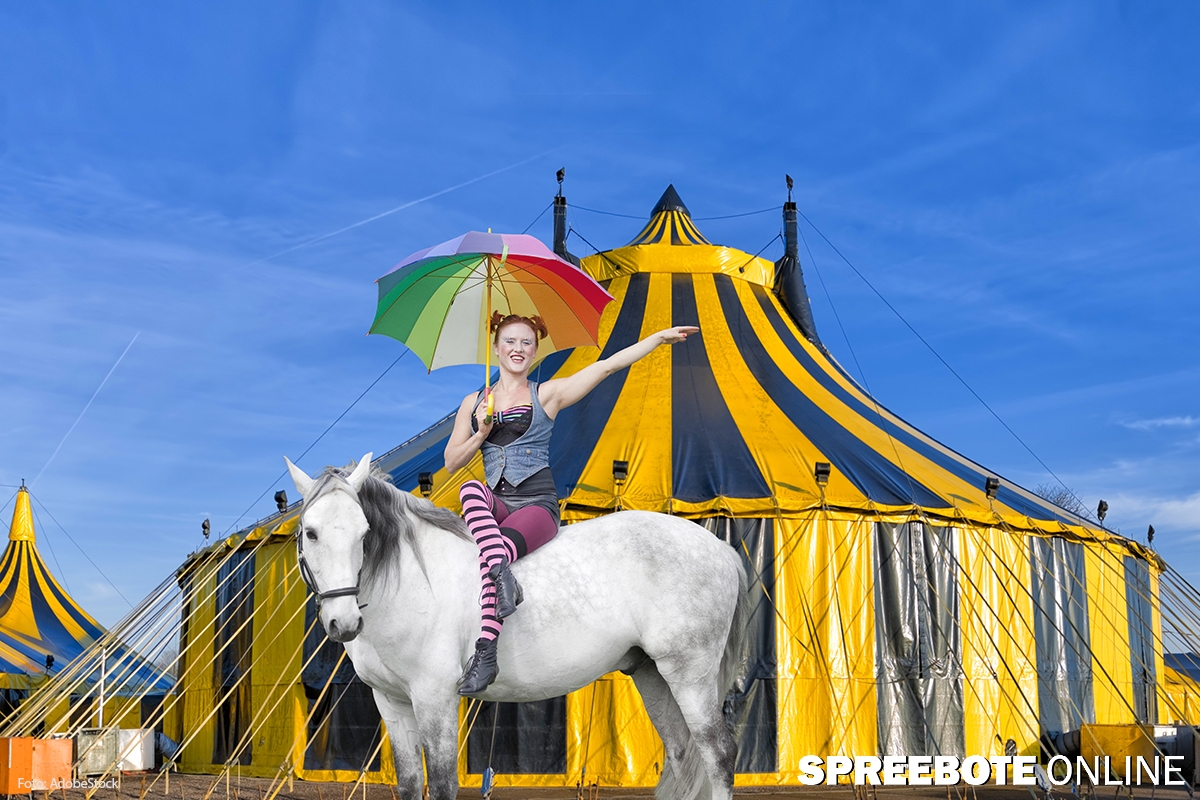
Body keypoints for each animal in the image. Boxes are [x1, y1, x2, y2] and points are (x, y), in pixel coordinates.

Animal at [285, 454, 748, 800]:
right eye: (310, 532)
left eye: (364, 532)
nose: (344, 622)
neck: (410, 580)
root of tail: (722, 549)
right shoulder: (392, 703)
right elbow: (411, 785)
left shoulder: (434, 699)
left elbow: (442, 784)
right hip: (652, 675)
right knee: (683, 755)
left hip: (690, 675)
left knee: (718, 754)